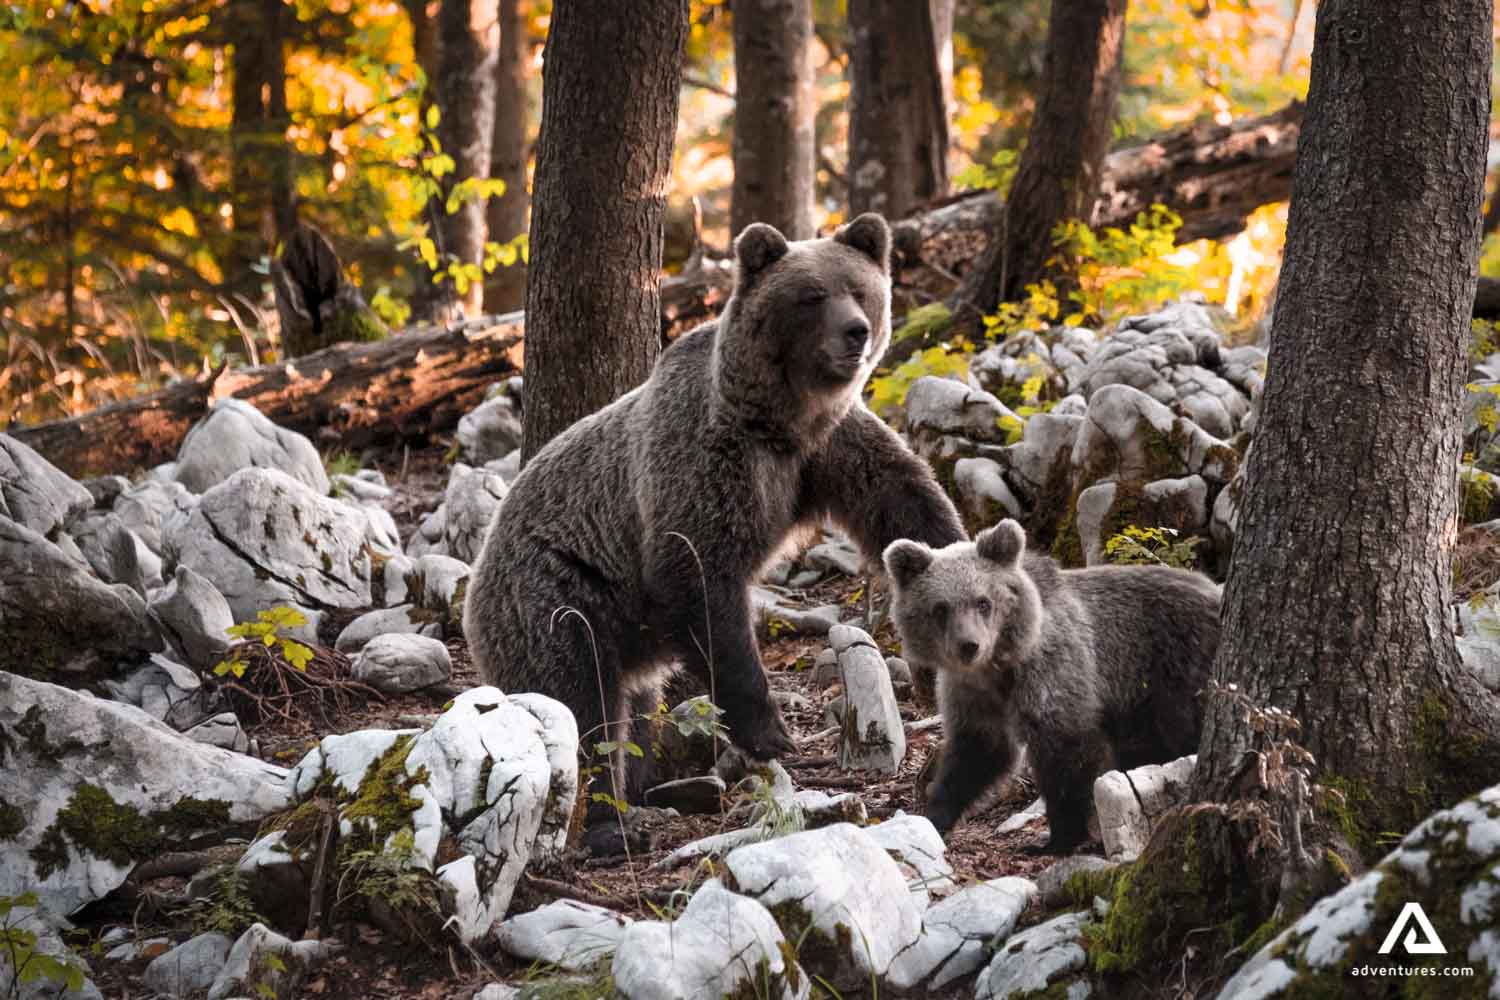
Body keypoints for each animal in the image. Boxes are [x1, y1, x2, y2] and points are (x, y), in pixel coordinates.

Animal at [463, 213, 966, 851]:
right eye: (811, 296)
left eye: (860, 289)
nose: (855, 332)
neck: (779, 421)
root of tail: (478, 572)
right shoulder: (704, 462)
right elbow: (700, 579)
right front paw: (769, 730)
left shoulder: (828, 449)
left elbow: (904, 499)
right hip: (558, 597)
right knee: (581, 705)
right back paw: (610, 823)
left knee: (633, 708)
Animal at [883, 518, 1220, 853]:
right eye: (940, 608)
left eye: (983, 602)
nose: (969, 645)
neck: (997, 669)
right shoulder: (972, 695)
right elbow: (976, 754)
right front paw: (934, 816)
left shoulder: (1054, 672)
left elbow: (1065, 753)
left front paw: (1057, 839)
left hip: (1178, 669)